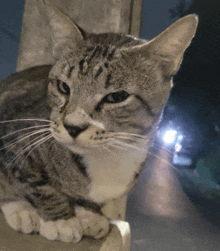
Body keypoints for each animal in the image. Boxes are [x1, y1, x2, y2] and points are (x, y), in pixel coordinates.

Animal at [0, 0, 199, 243]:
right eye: (63, 87)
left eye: (117, 96)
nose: (72, 126)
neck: (110, 156)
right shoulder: (15, 134)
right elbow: (36, 182)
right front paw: (60, 219)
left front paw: (88, 213)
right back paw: (21, 210)